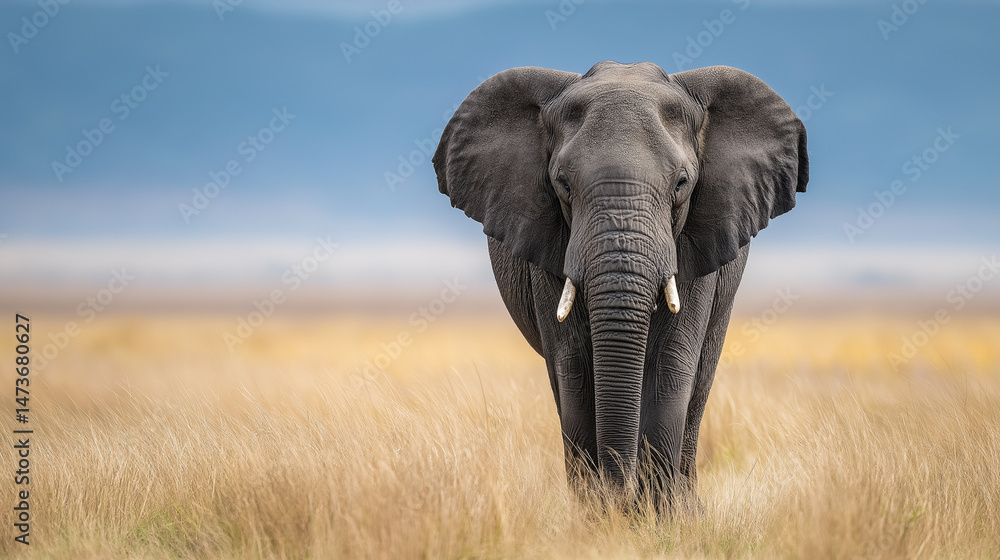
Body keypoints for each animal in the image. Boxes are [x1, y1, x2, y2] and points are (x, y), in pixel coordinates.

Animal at [432, 61, 808, 505]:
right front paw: (602, 514)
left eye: (681, 184)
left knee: (698, 387)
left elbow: (670, 364)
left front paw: (654, 515)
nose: (621, 493)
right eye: (562, 184)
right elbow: (575, 368)